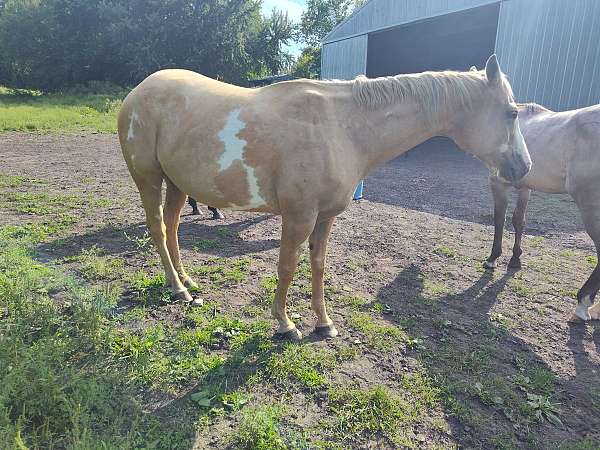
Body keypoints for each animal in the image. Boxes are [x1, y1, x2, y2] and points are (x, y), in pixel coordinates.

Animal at [118, 54, 528, 340]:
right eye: (512, 113)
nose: (524, 167)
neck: (342, 127)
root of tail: (137, 93)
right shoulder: (298, 216)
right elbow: (286, 266)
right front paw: (285, 325)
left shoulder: (325, 216)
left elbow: (317, 265)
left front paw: (324, 323)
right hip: (149, 180)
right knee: (158, 229)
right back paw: (176, 288)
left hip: (178, 183)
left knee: (173, 227)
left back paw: (187, 282)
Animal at [482, 102, 600, 324]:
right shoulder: (525, 186)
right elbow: (519, 220)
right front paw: (515, 260)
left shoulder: (498, 182)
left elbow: (499, 219)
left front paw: (493, 258)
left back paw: (583, 303)